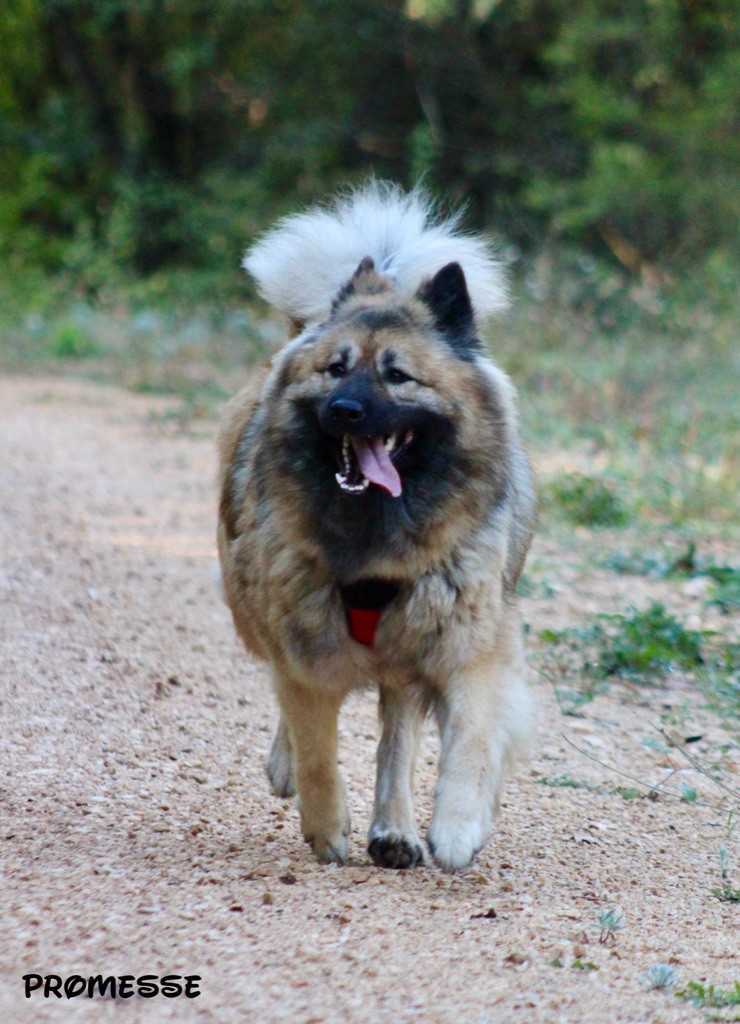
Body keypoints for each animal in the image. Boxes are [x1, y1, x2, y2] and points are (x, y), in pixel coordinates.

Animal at [216, 184, 536, 872]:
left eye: (397, 375)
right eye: (335, 369)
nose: (345, 410)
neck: (376, 540)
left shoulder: (468, 642)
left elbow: (470, 739)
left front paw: (458, 828)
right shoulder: (305, 640)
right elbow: (316, 745)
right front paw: (326, 826)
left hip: (404, 647)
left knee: (398, 736)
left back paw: (394, 830)